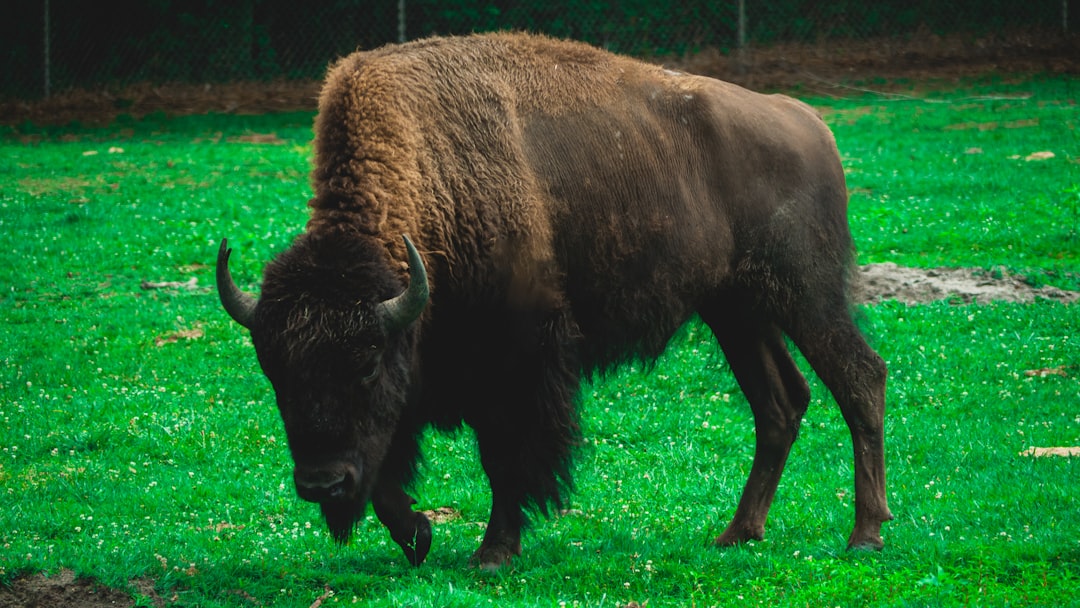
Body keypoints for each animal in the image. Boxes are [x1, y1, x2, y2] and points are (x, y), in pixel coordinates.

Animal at [217, 32, 892, 569]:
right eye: (276, 374)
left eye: (364, 365)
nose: (319, 483)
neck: (437, 175)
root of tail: (808, 121)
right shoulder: (421, 365)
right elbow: (388, 468)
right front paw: (419, 536)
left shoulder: (517, 362)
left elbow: (506, 458)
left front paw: (493, 553)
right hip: (737, 311)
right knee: (780, 403)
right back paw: (737, 533)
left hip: (807, 297)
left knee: (860, 377)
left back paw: (865, 535)